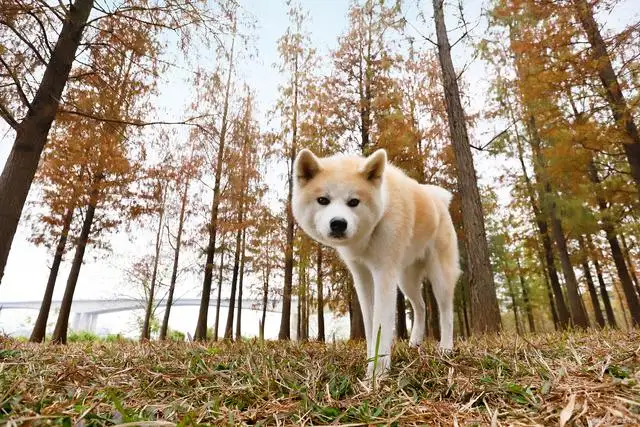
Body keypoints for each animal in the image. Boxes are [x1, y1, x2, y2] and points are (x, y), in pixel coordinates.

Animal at [290, 149, 460, 376]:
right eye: (323, 200)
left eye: (354, 202)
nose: (338, 223)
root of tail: (438, 199)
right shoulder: (362, 277)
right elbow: (370, 324)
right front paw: (371, 359)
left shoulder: (384, 274)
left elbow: (381, 323)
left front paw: (377, 373)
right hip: (406, 281)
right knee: (421, 306)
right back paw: (414, 343)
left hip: (439, 278)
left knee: (446, 312)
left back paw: (446, 349)